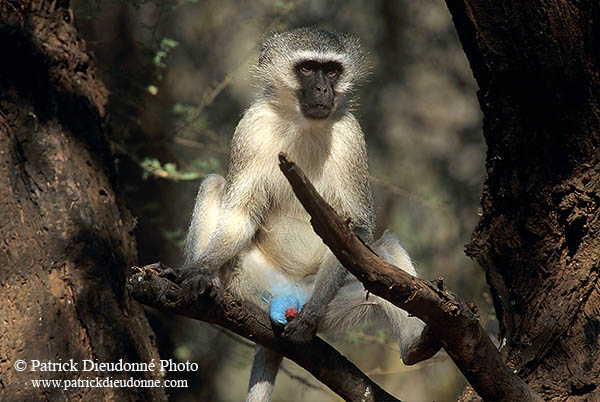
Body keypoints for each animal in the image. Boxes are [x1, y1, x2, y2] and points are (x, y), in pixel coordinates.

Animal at [180, 27, 438, 402]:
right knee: (214, 184)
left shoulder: (350, 135)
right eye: (306, 68)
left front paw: (310, 317)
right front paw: (198, 273)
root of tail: (289, 296)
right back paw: (210, 285)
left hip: (334, 305)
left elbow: (357, 232)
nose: (322, 90)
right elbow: (241, 214)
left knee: (386, 249)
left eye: (331, 71)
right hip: (248, 284)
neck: (302, 124)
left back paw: (414, 345)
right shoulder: (251, 127)